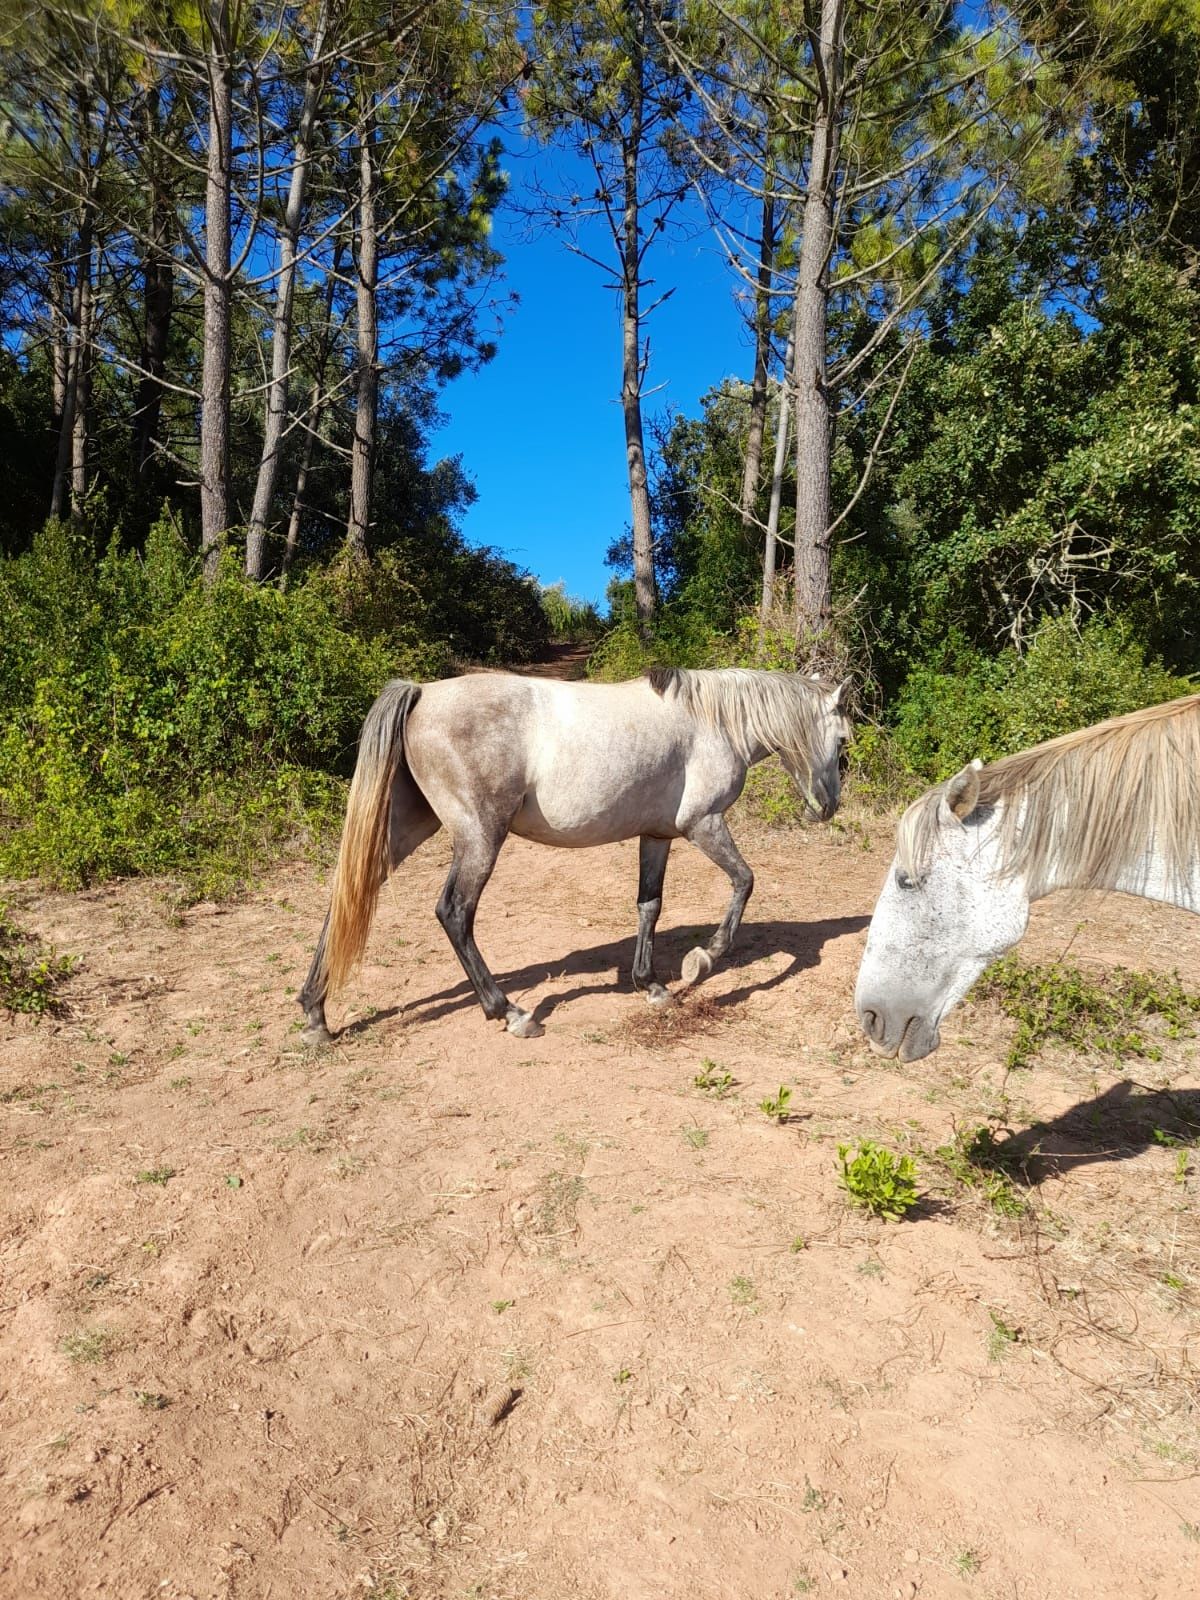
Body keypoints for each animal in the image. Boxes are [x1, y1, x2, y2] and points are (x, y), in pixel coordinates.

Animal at [302, 659, 857, 1043]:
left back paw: (315, 1014)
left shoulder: (657, 837)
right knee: (454, 914)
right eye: (844, 742)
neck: (713, 722)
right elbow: (744, 881)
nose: (827, 807)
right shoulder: (703, 825)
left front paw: (650, 985)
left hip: (407, 830)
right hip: (479, 838)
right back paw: (510, 1012)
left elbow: (649, 905)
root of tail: (422, 693)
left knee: (348, 896)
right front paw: (701, 961)